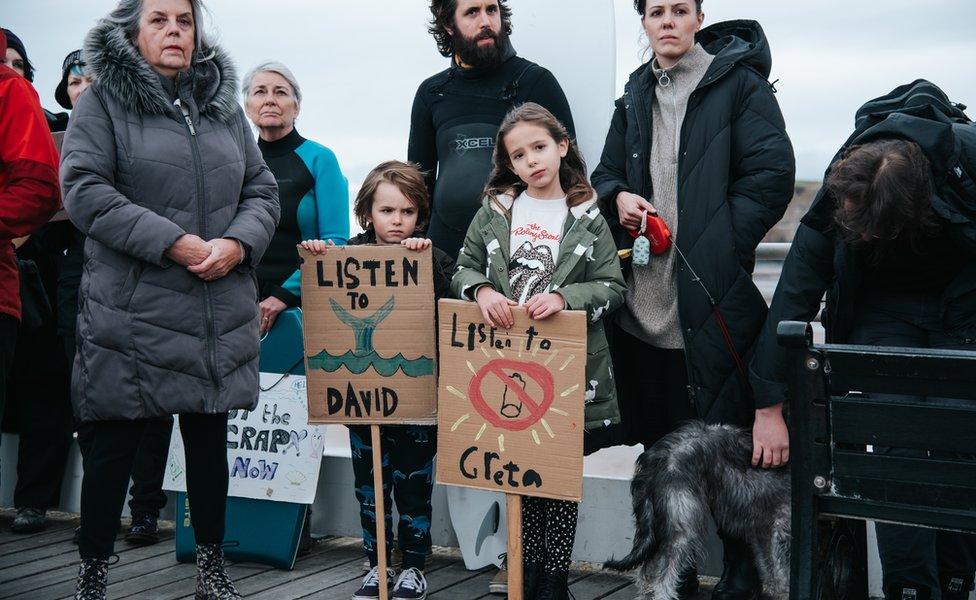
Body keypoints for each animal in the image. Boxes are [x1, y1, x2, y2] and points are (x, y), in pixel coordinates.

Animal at [604, 422, 792, 600]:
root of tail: (652, 460)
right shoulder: (779, 529)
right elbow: (782, 571)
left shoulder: (764, 532)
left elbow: (774, 573)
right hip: (683, 526)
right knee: (662, 580)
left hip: (661, 522)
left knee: (646, 571)